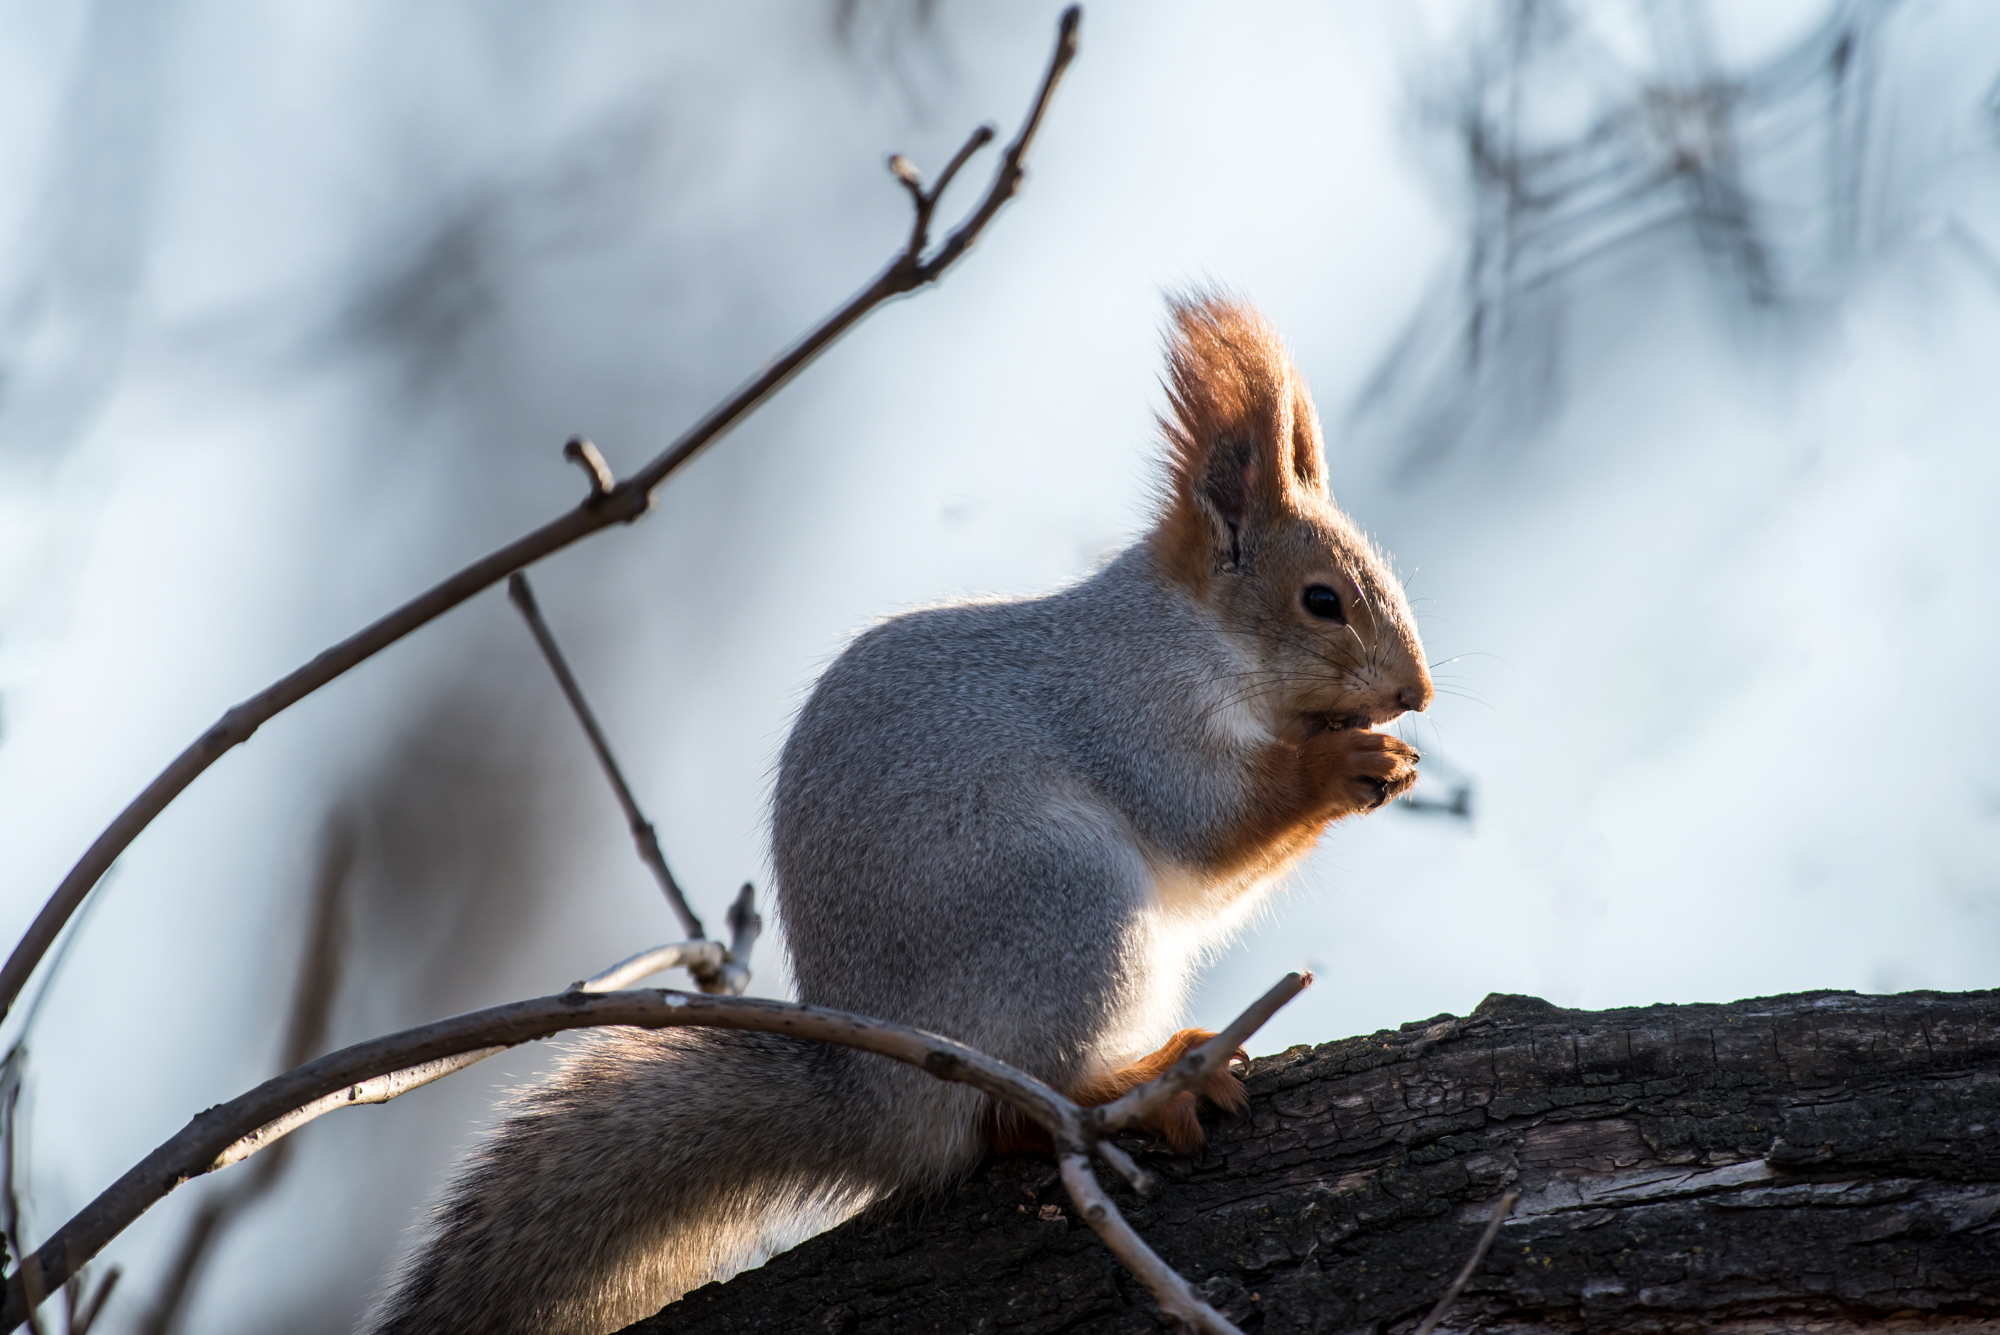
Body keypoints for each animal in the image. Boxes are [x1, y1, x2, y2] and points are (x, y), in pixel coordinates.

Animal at [360, 293, 1424, 1335]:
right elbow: (1204, 826)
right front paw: (1340, 760)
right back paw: (1140, 1081)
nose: (1413, 693)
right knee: (1015, 1117)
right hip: (1074, 909)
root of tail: (885, 1106)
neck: (1193, 633)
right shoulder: (1128, 714)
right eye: (1322, 600)